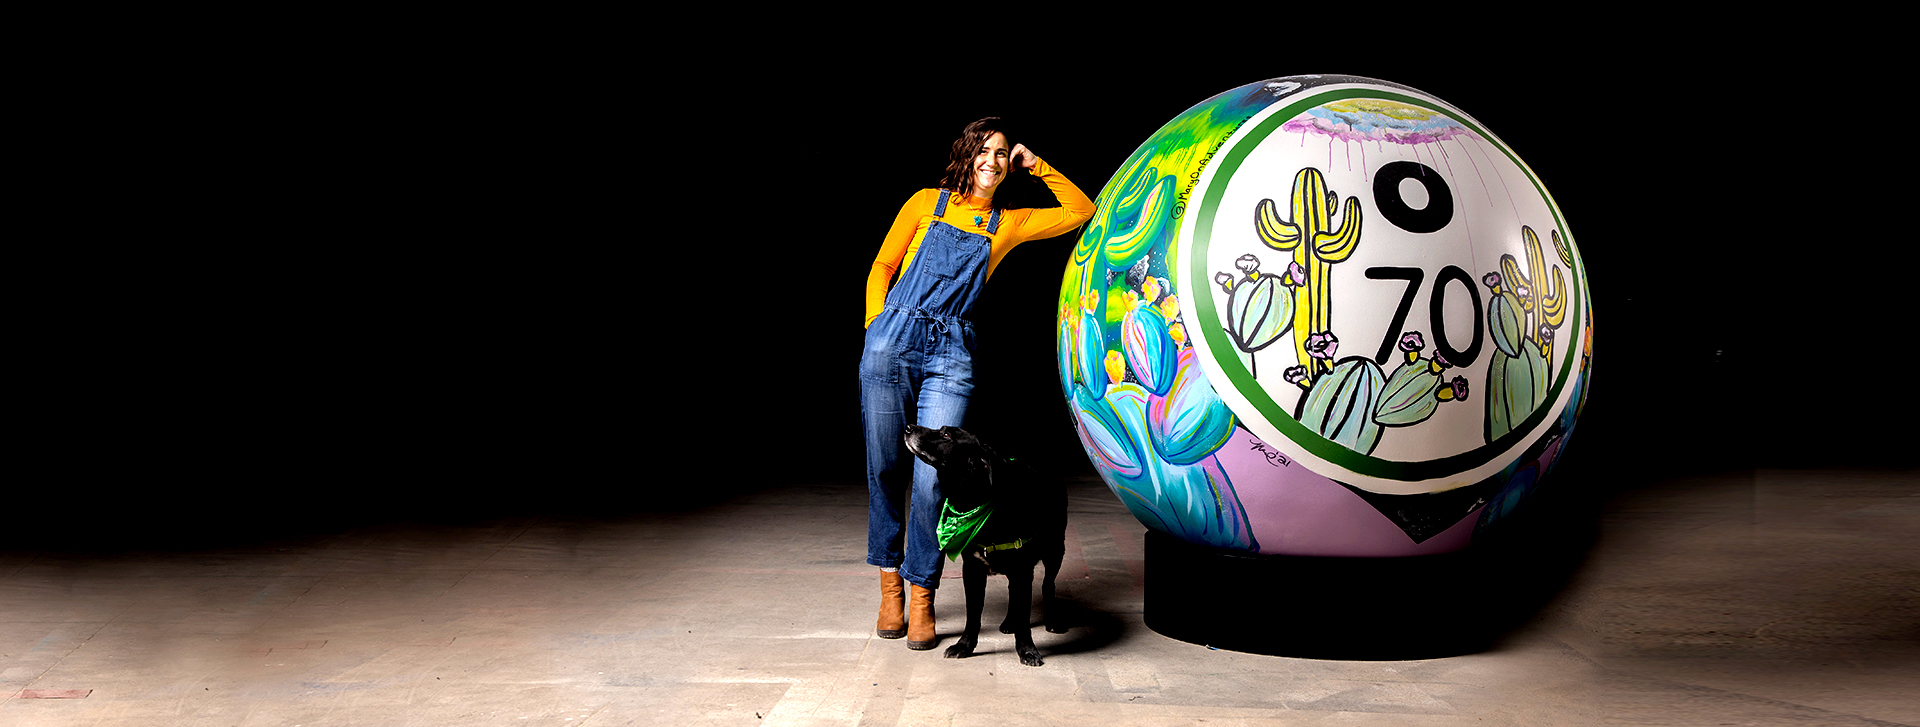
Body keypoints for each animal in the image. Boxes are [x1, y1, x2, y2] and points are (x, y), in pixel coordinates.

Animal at [898, 423, 1067, 667]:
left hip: (1055, 550)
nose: (909, 427)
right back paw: (1009, 621)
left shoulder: (1023, 570)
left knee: (1048, 584)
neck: (973, 499)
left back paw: (1051, 620)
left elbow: (1024, 617)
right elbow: (973, 614)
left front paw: (1027, 650)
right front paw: (964, 646)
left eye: (946, 435)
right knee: (1014, 592)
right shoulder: (972, 570)